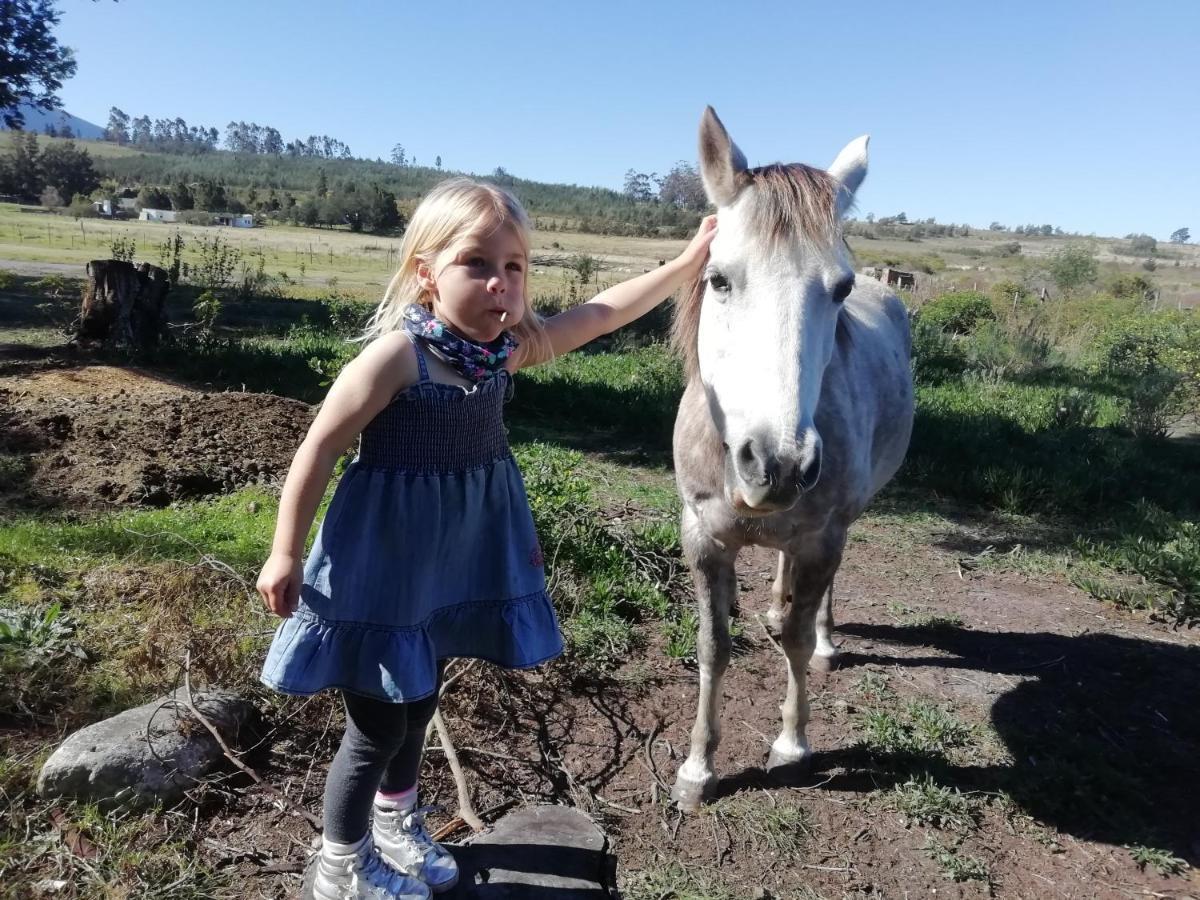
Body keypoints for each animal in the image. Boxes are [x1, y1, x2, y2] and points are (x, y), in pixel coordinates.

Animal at [672, 105, 912, 811]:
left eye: (841, 288)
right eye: (719, 278)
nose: (775, 464)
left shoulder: (821, 537)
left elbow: (799, 640)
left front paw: (791, 744)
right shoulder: (702, 538)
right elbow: (713, 646)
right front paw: (697, 768)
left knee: (814, 609)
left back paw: (825, 639)